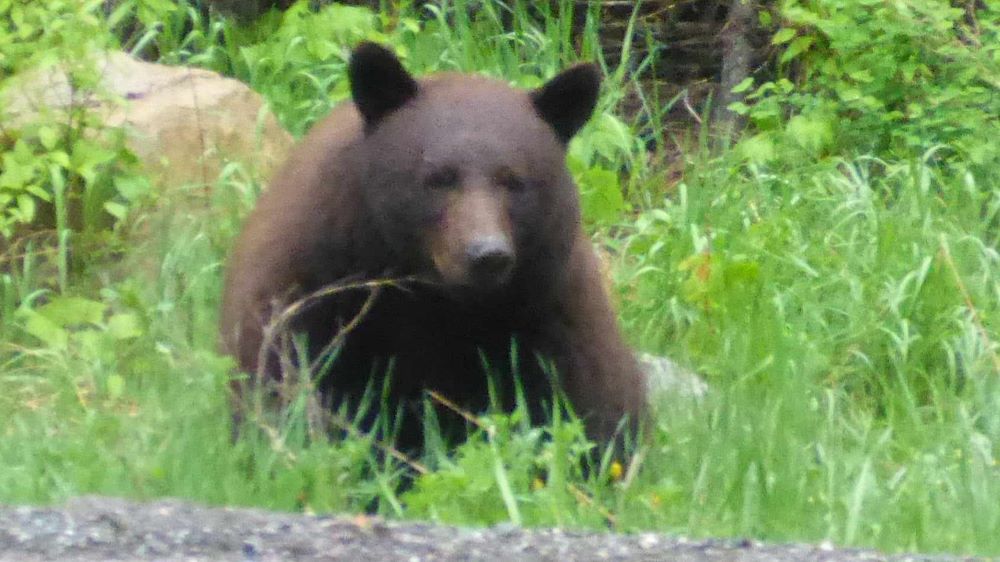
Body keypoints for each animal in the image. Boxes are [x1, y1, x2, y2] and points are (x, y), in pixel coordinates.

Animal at [220, 42, 647, 452]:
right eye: (438, 177)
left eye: (513, 180)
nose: (487, 255)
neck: (433, 298)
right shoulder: (310, 285)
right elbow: (284, 378)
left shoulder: (550, 306)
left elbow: (592, 408)